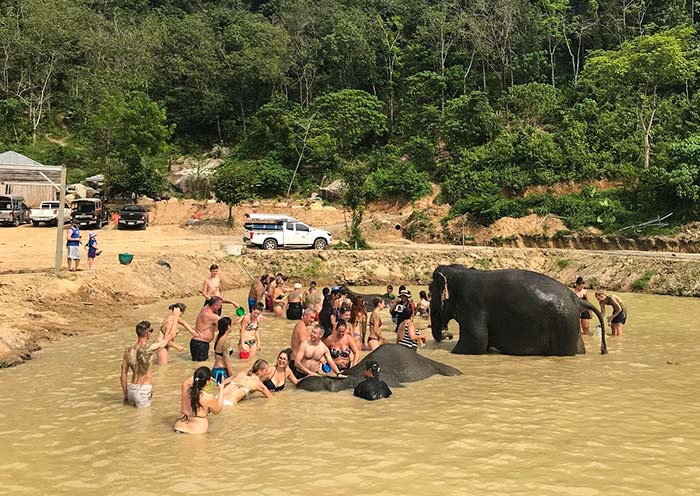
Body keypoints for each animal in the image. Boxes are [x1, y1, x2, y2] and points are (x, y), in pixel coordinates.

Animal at [430, 265, 607, 356]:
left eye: (430, 290)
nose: (448, 333)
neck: (460, 271)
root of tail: (576, 300)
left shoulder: (471, 304)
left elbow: (475, 343)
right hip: (571, 326)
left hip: (563, 325)